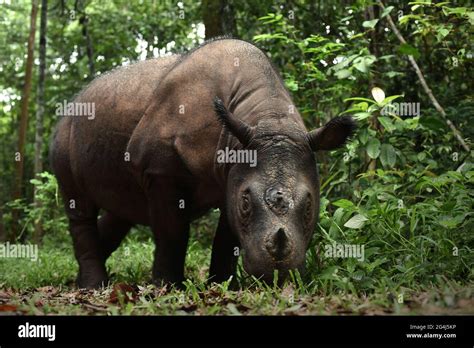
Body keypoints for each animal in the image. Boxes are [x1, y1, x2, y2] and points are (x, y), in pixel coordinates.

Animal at [51, 37, 356, 288]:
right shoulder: (159, 169)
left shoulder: (233, 173)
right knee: (79, 204)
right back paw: (93, 286)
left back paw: (81, 281)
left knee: (121, 210)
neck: (265, 117)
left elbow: (227, 237)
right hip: (65, 132)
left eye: (310, 206)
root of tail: (74, 102)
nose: (277, 274)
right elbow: (173, 232)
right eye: (246, 203)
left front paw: (223, 286)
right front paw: (167, 286)